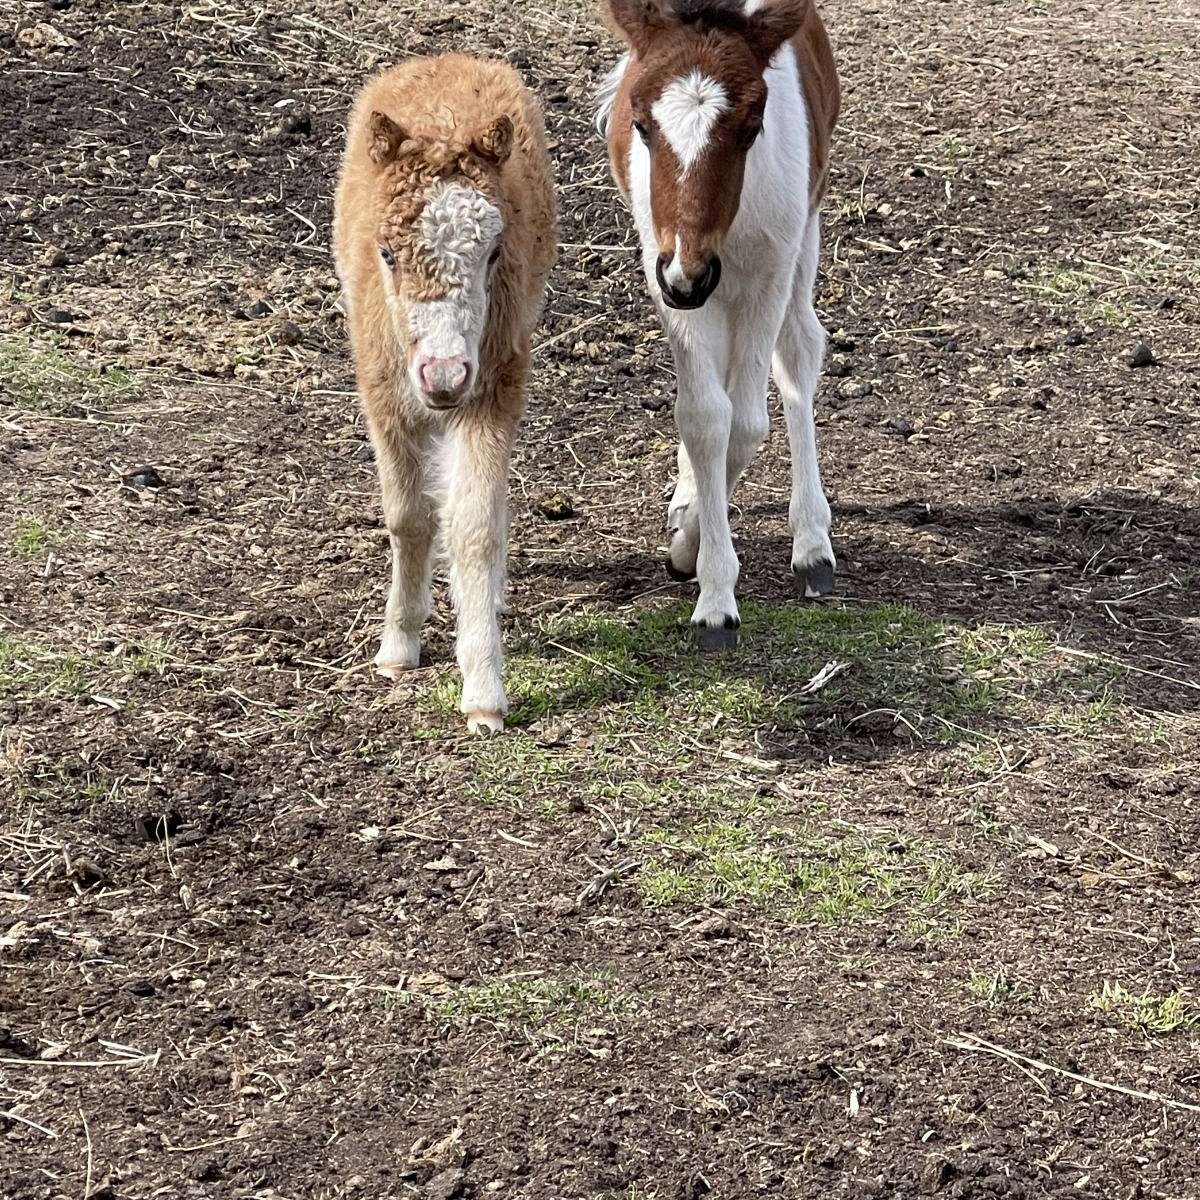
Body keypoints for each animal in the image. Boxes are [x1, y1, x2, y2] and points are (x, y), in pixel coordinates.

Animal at [333, 60, 556, 734]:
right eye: (385, 252)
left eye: (494, 251)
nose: (444, 375)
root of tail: (446, 59)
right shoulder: (381, 390)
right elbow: (407, 518)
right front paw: (398, 648)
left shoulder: (493, 385)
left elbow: (475, 524)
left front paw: (483, 693)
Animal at [595, 0, 840, 648]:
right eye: (642, 125)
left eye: (751, 128)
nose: (692, 270)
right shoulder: (662, 264)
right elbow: (706, 416)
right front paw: (701, 566)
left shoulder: (769, 265)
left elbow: (748, 421)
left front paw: (699, 555)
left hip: (801, 231)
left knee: (799, 350)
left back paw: (812, 542)